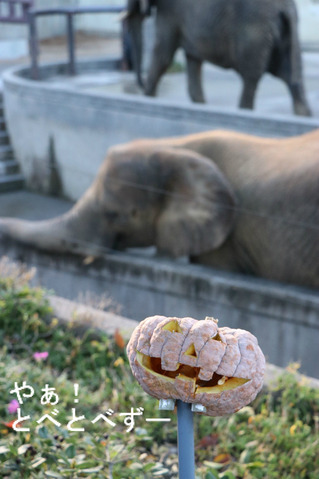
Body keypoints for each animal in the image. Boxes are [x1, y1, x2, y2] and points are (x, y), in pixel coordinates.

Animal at [125, 0, 312, 116]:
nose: (139, 85)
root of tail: (286, 7)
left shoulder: (170, 12)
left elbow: (163, 55)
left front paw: (147, 99)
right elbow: (192, 59)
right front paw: (200, 105)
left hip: (255, 31)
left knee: (250, 77)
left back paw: (243, 111)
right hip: (284, 34)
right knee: (292, 77)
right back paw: (303, 115)